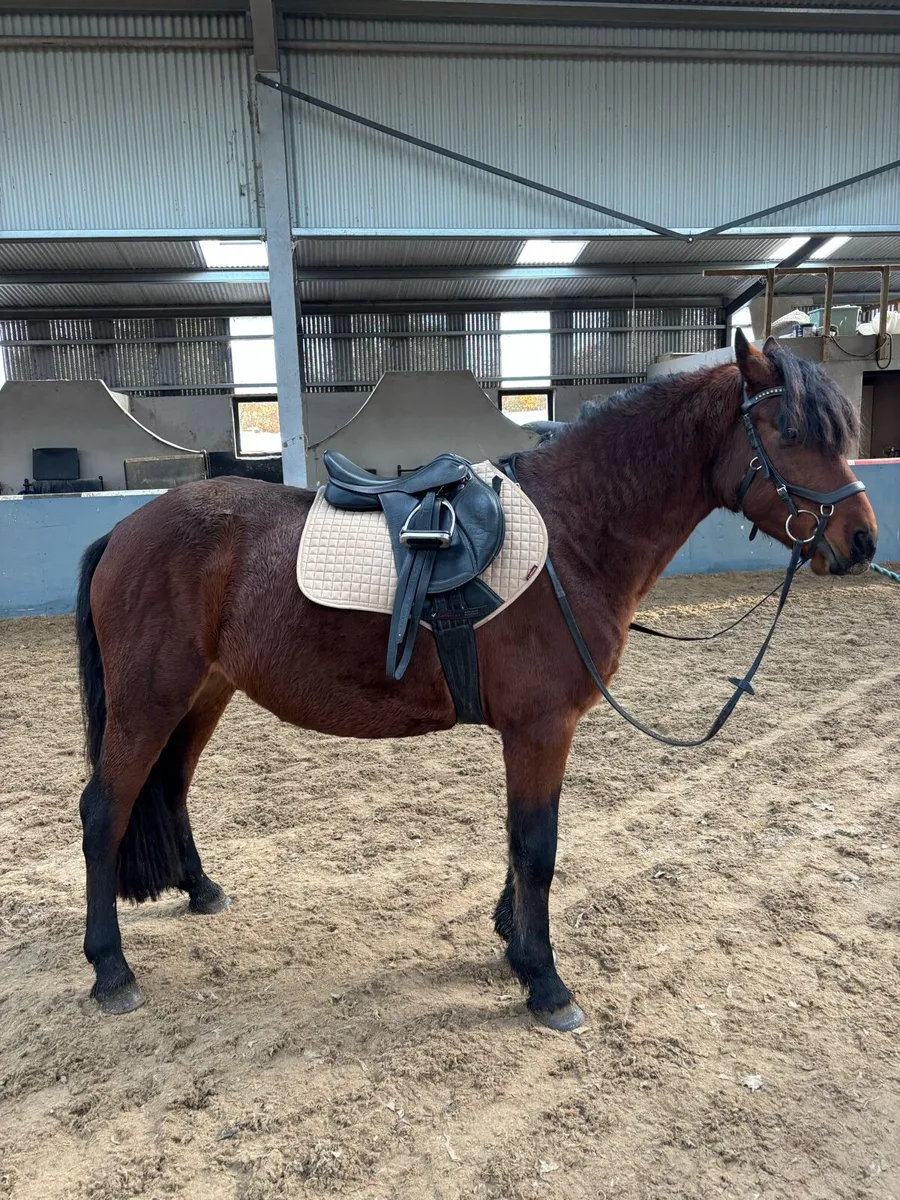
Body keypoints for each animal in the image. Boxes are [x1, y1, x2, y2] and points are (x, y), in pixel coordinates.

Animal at [74, 333, 876, 1031]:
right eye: (790, 431)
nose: (863, 540)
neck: (571, 539)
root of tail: (126, 531)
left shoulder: (535, 732)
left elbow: (522, 841)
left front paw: (515, 947)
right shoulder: (542, 728)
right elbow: (537, 847)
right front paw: (545, 982)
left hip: (202, 694)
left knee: (170, 787)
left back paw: (200, 890)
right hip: (148, 701)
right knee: (104, 812)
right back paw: (111, 970)